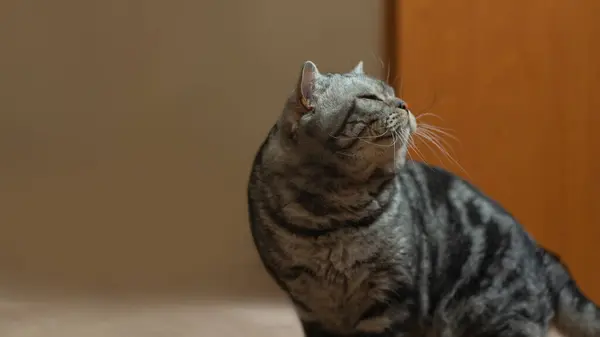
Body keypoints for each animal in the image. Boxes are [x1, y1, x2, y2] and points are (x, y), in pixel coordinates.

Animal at [245, 60, 600, 336]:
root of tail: (543, 255)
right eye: (370, 98)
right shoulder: (311, 308)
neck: (333, 215)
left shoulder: (390, 300)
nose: (404, 104)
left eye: (391, 93)